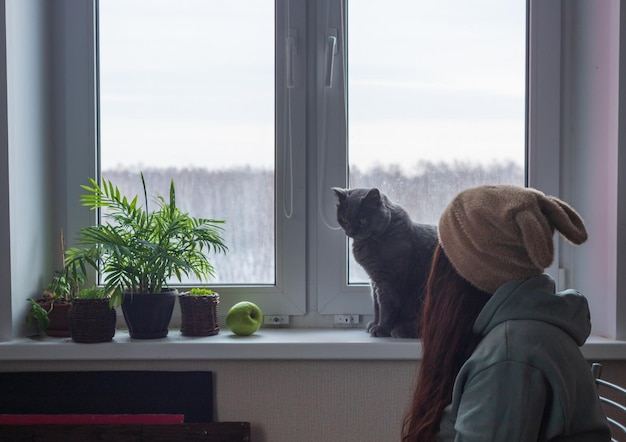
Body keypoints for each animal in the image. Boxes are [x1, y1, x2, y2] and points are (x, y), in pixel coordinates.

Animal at [330, 187, 436, 338]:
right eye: (344, 219)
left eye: (363, 220)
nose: (351, 232)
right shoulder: (374, 280)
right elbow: (376, 305)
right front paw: (374, 324)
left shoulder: (387, 280)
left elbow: (386, 306)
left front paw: (381, 329)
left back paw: (400, 330)